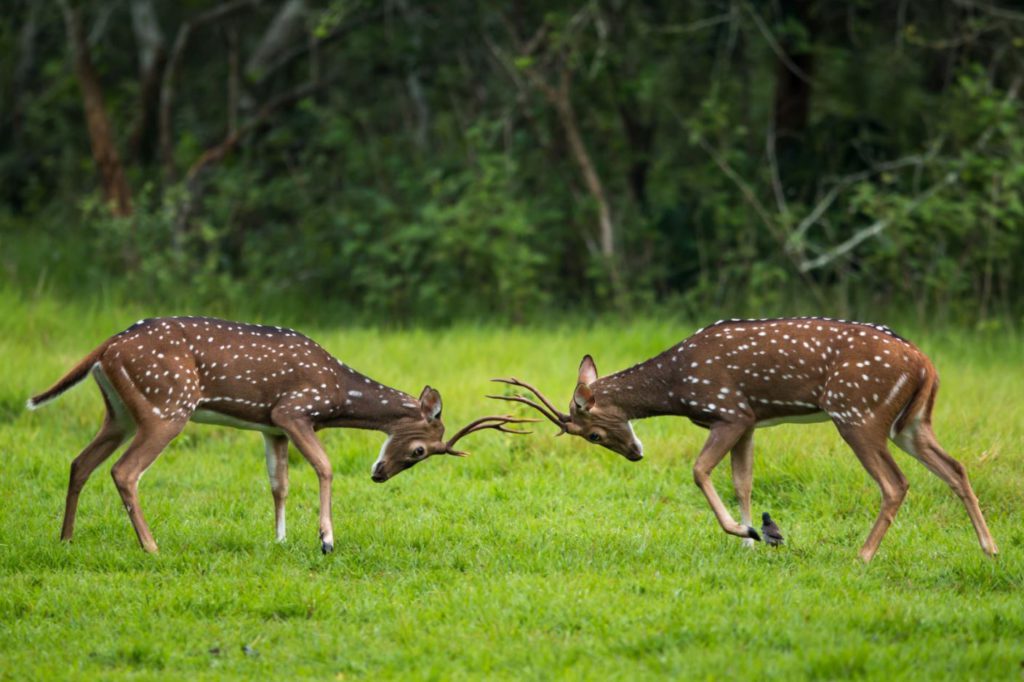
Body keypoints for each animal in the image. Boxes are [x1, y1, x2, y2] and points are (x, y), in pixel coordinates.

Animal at [28, 317, 532, 552]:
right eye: (420, 450)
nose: (379, 475)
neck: (335, 393)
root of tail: (105, 347)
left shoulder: (271, 426)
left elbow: (279, 483)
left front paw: (280, 539)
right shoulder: (293, 410)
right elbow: (325, 466)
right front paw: (326, 540)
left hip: (119, 413)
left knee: (79, 462)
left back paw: (66, 540)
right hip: (167, 405)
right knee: (125, 471)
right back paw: (151, 546)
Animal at [495, 315, 999, 561]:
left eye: (595, 433)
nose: (636, 454)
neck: (678, 385)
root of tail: (926, 365)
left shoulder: (730, 411)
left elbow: (700, 470)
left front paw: (744, 531)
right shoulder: (752, 420)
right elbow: (744, 482)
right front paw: (752, 539)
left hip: (859, 414)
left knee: (895, 484)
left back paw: (862, 555)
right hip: (910, 423)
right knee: (956, 467)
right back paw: (990, 549)